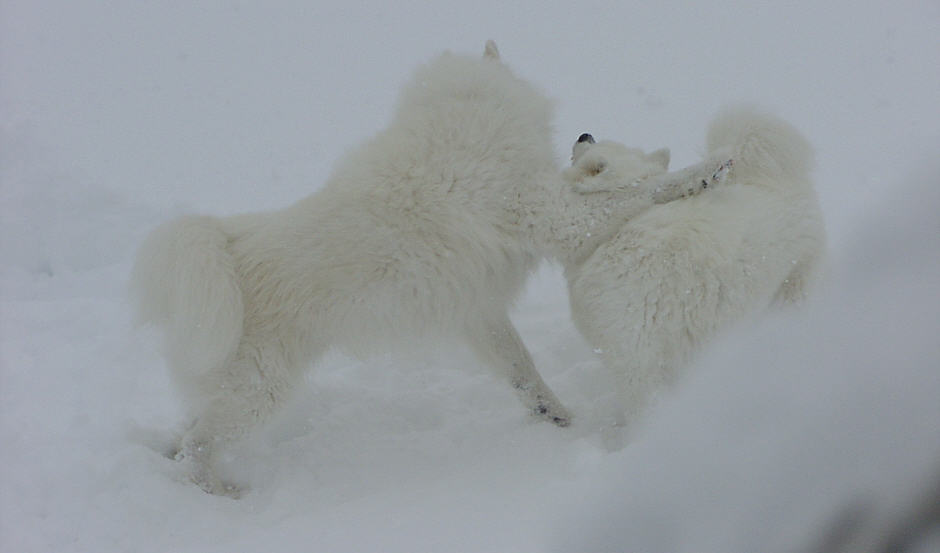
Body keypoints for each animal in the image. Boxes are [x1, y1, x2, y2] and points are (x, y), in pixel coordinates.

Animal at [130, 41, 720, 494]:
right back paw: (223, 492)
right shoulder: (556, 220)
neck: (467, 115)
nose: (584, 134)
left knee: (186, 435)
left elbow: (523, 370)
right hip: (258, 393)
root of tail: (224, 247)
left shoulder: (478, 312)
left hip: (233, 389)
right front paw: (705, 172)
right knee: (197, 447)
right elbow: (641, 193)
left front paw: (555, 417)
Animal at [560, 106, 828, 426]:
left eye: (591, 157)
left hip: (791, 292)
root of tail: (781, 182)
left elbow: (643, 410)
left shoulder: (635, 359)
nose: (584, 135)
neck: (618, 229)